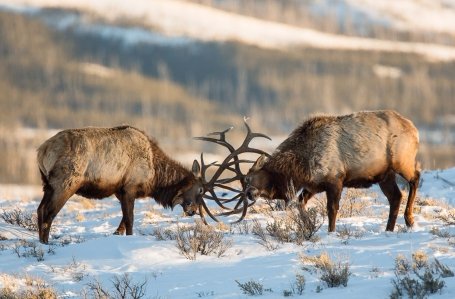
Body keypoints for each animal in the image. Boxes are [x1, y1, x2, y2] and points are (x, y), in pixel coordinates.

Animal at [36, 125, 205, 245]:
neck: (154, 175)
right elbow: (129, 220)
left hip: (47, 184)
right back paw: (46, 243)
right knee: (49, 212)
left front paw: (116, 234)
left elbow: (123, 220)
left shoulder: (120, 191)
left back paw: (41, 241)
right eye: (199, 190)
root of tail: (41, 150)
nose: (193, 210)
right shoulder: (130, 187)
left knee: (40, 209)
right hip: (65, 183)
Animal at [246, 110, 420, 232]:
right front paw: (309, 225)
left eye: (249, 178)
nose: (248, 193)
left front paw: (331, 232)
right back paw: (389, 229)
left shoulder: (335, 179)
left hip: (402, 160)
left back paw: (409, 220)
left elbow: (332, 210)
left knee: (415, 178)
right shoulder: (314, 185)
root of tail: (414, 129)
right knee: (396, 197)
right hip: (385, 175)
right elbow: (300, 203)